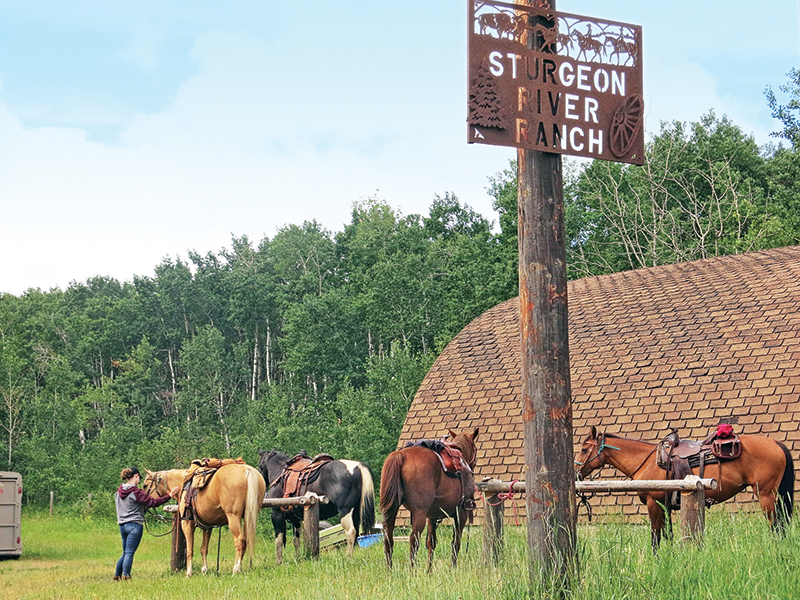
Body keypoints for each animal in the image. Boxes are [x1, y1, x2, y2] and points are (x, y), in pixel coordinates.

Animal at [380, 428, 479, 571]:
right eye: (475, 449)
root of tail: (401, 455)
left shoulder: (431, 517)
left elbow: (431, 543)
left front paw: (429, 571)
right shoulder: (461, 514)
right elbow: (456, 542)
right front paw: (453, 568)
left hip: (391, 510)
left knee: (388, 539)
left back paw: (390, 571)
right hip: (419, 513)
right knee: (413, 540)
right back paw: (412, 572)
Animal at [575, 426, 795, 550]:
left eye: (584, 449)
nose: (576, 472)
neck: (646, 461)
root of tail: (776, 443)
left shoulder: (654, 504)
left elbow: (655, 538)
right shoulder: (665, 506)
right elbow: (667, 535)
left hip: (766, 495)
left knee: (776, 526)